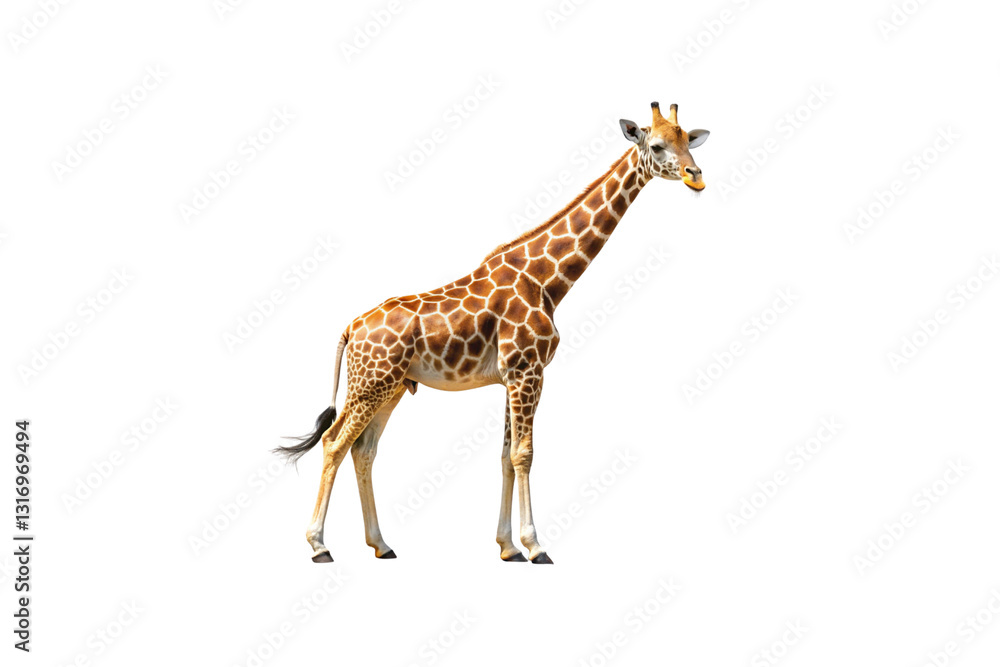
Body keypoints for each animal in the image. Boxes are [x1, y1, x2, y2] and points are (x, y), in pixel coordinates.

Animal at [277, 101, 710, 564]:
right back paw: (319, 545)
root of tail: (350, 328)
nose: (695, 175)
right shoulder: (528, 371)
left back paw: (381, 544)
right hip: (368, 385)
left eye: (689, 141)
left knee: (364, 450)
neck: (547, 280)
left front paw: (508, 547)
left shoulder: (512, 376)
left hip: (390, 388)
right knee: (334, 443)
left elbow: (505, 456)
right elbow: (524, 454)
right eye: (658, 145)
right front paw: (536, 546)